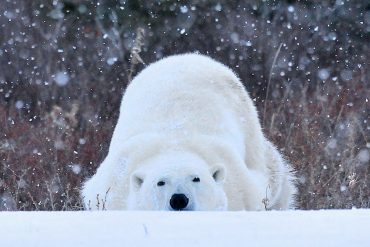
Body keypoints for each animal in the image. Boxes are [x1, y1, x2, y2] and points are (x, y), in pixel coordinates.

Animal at [82, 52, 296, 210]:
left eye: (196, 178)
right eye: (160, 182)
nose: (178, 199)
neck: (175, 144)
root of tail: (189, 56)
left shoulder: (237, 185)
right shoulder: (114, 187)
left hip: (249, 126)